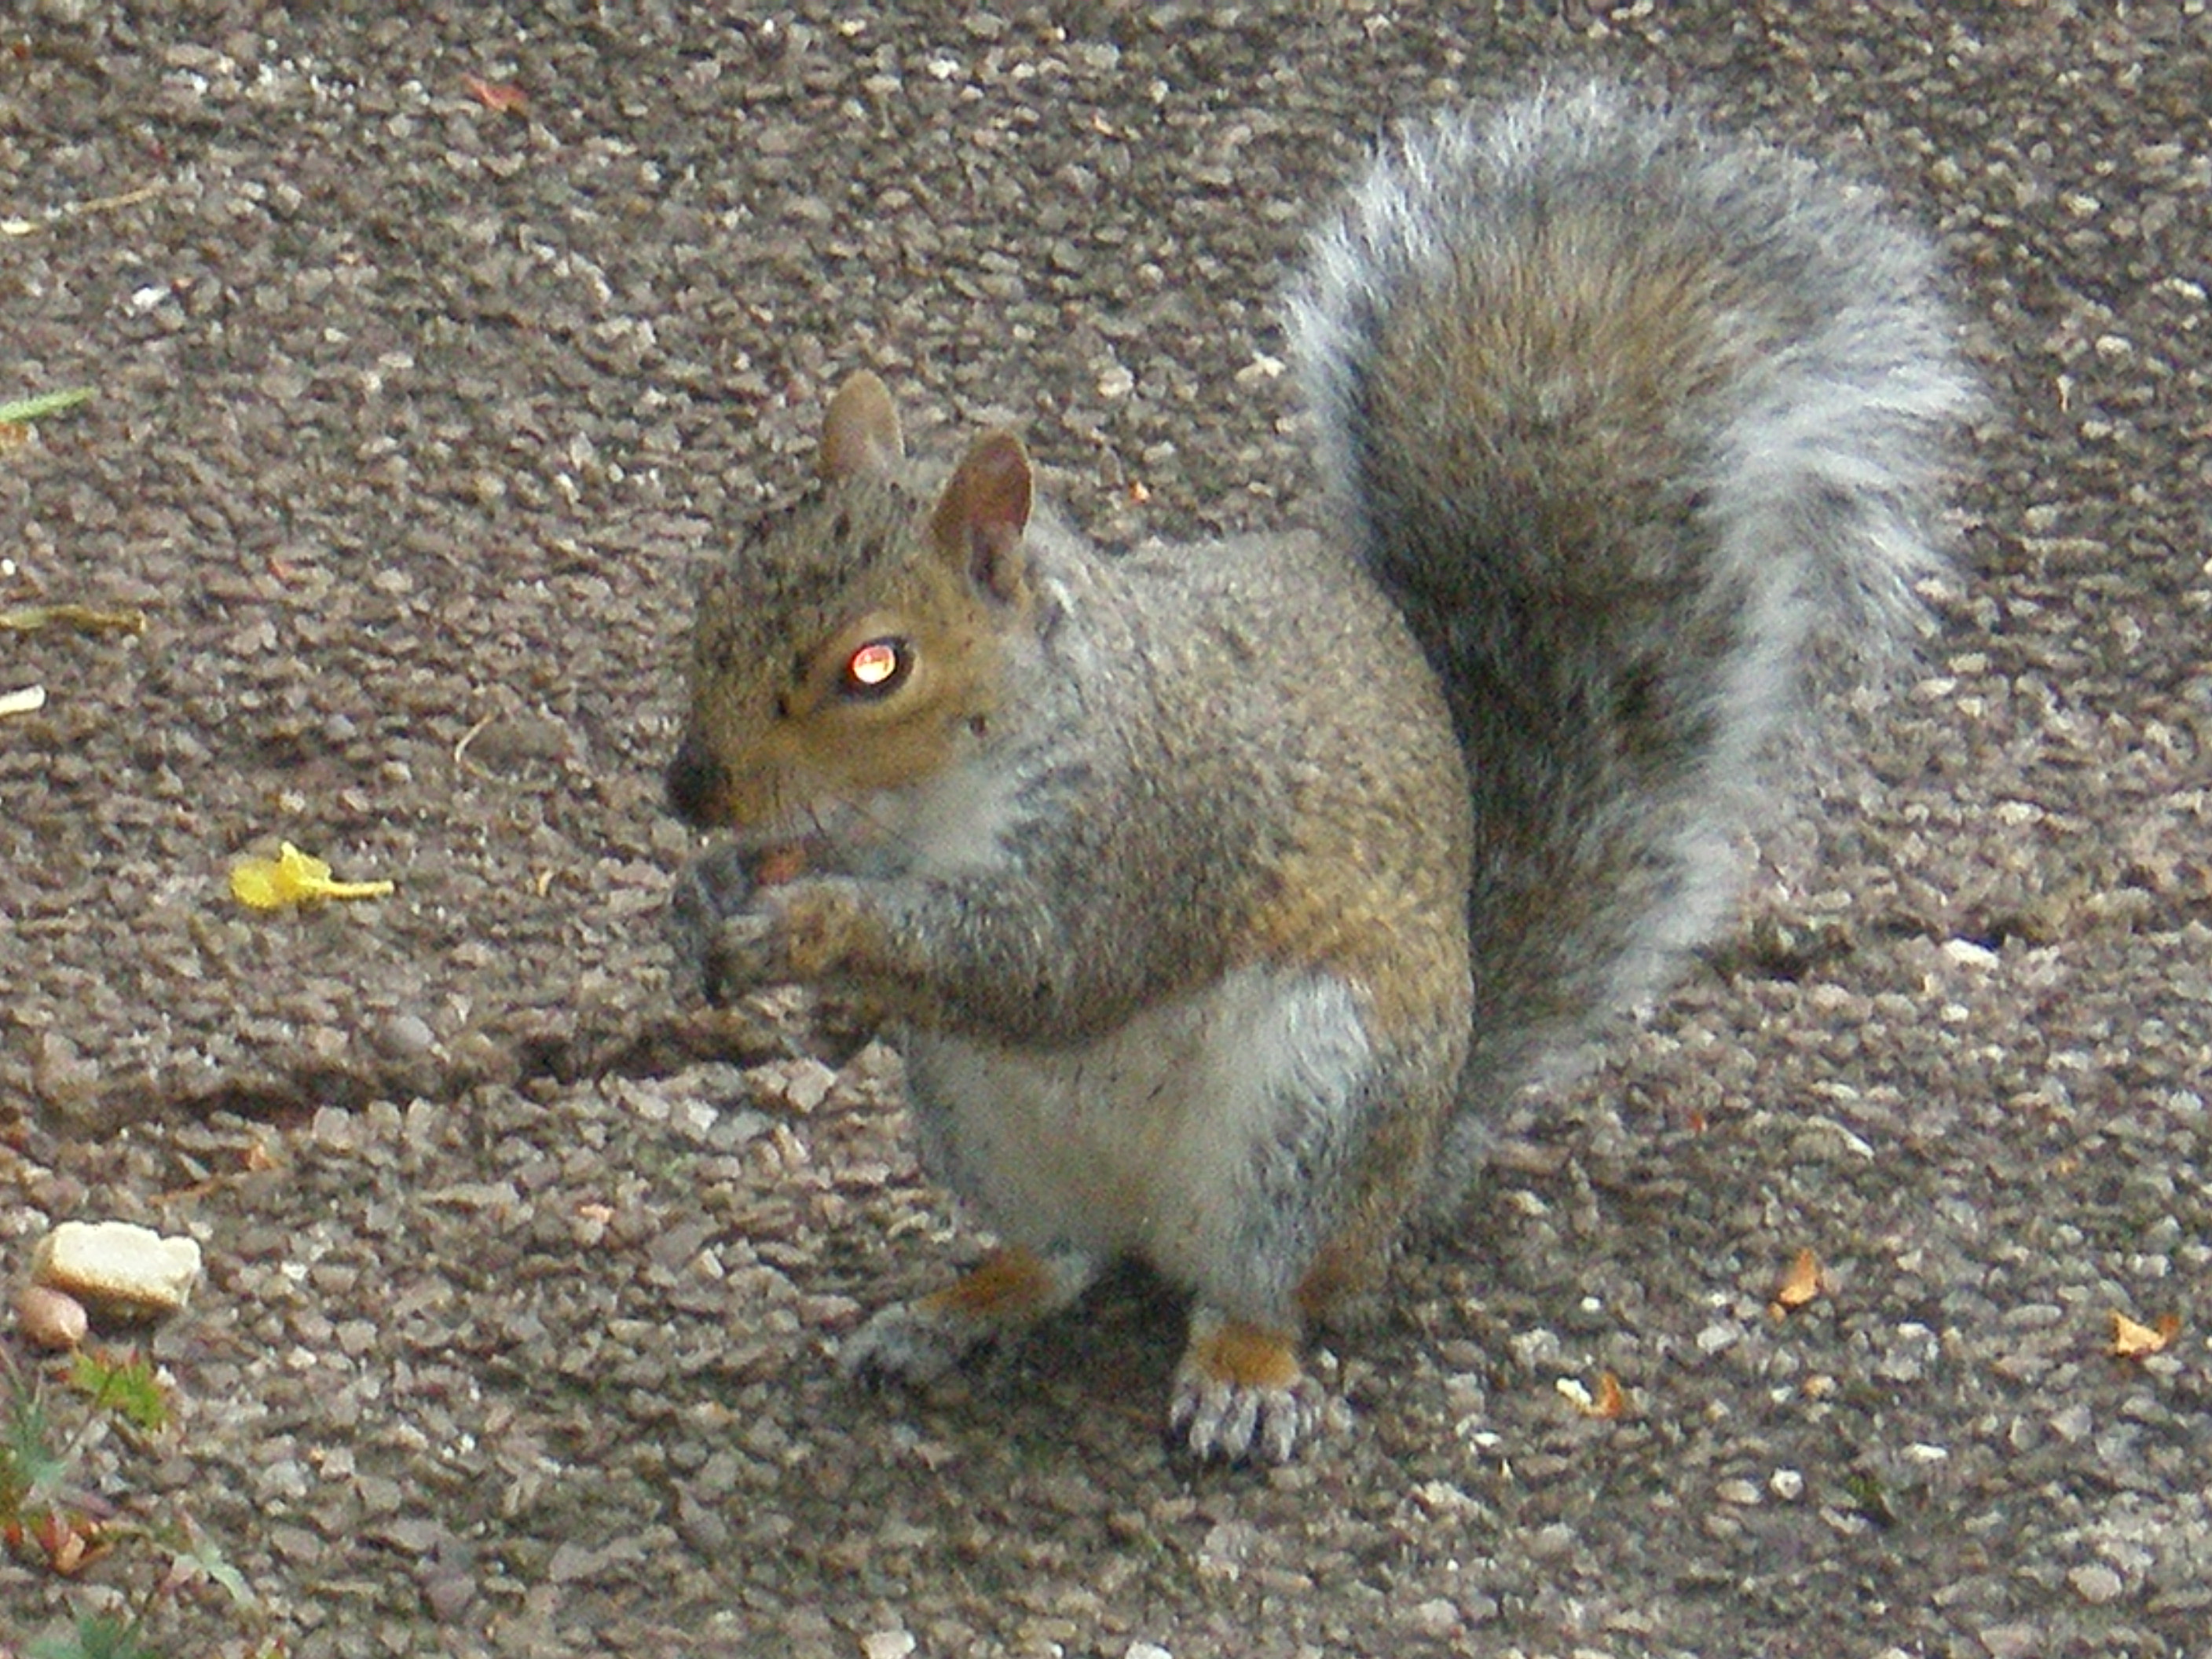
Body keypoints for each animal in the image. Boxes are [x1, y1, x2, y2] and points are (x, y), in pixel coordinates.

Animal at [662, 83, 1972, 1463]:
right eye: (723, 583)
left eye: (877, 665)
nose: (690, 789)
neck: (939, 797)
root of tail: (1408, 1183)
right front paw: (713, 893)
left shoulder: (1155, 824)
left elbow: (1049, 964)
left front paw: (810, 922)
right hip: (979, 1115)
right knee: (1061, 1257)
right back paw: (959, 1308)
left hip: (1314, 1114)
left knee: (1266, 1287)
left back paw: (1242, 1370)